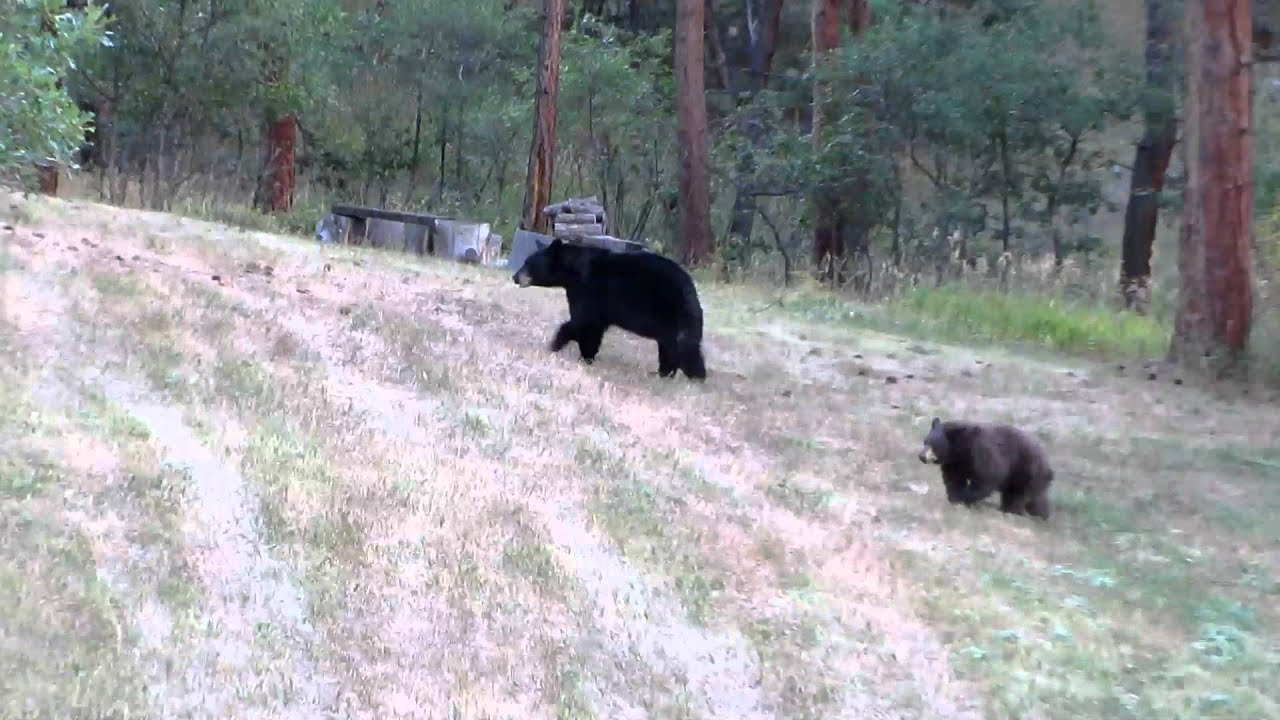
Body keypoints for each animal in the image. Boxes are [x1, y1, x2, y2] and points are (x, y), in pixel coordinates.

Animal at [511, 238, 707, 380]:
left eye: (528, 263)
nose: (515, 277)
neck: (573, 271)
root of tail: (692, 290)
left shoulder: (588, 291)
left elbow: (583, 323)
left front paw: (558, 345)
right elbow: (592, 328)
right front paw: (586, 355)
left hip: (672, 314)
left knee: (681, 347)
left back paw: (692, 376)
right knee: (673, 348)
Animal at [917, 417, 1054, 520]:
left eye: (934, 445)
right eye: (925, 441)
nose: (921, 456)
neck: (961, 448)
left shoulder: (982, 451)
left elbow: (986, 479)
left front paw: (964, 498)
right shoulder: (955, 463)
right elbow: (954, 479)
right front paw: (955, 498)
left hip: (1027, 470)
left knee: (1020, 495)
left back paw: (1014, 511)